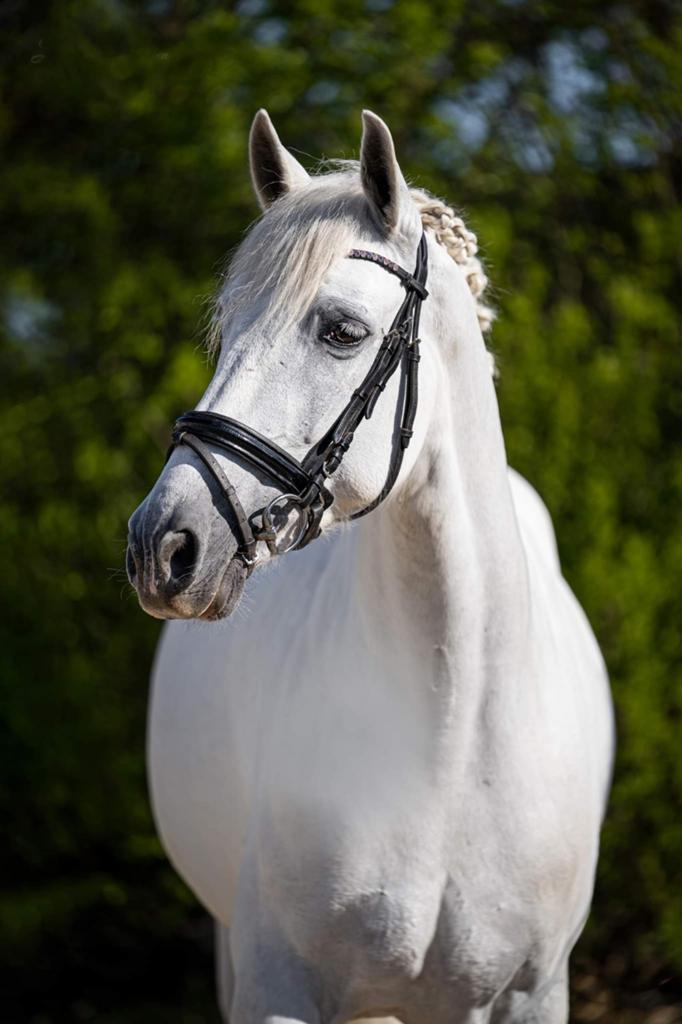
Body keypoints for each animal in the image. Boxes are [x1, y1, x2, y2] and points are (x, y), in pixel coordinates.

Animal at [127, 109, 614, 1024]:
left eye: (342, 332)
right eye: (226, 328)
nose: (162, 547)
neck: (449, 745)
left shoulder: (531, 993)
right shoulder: (278, 987)